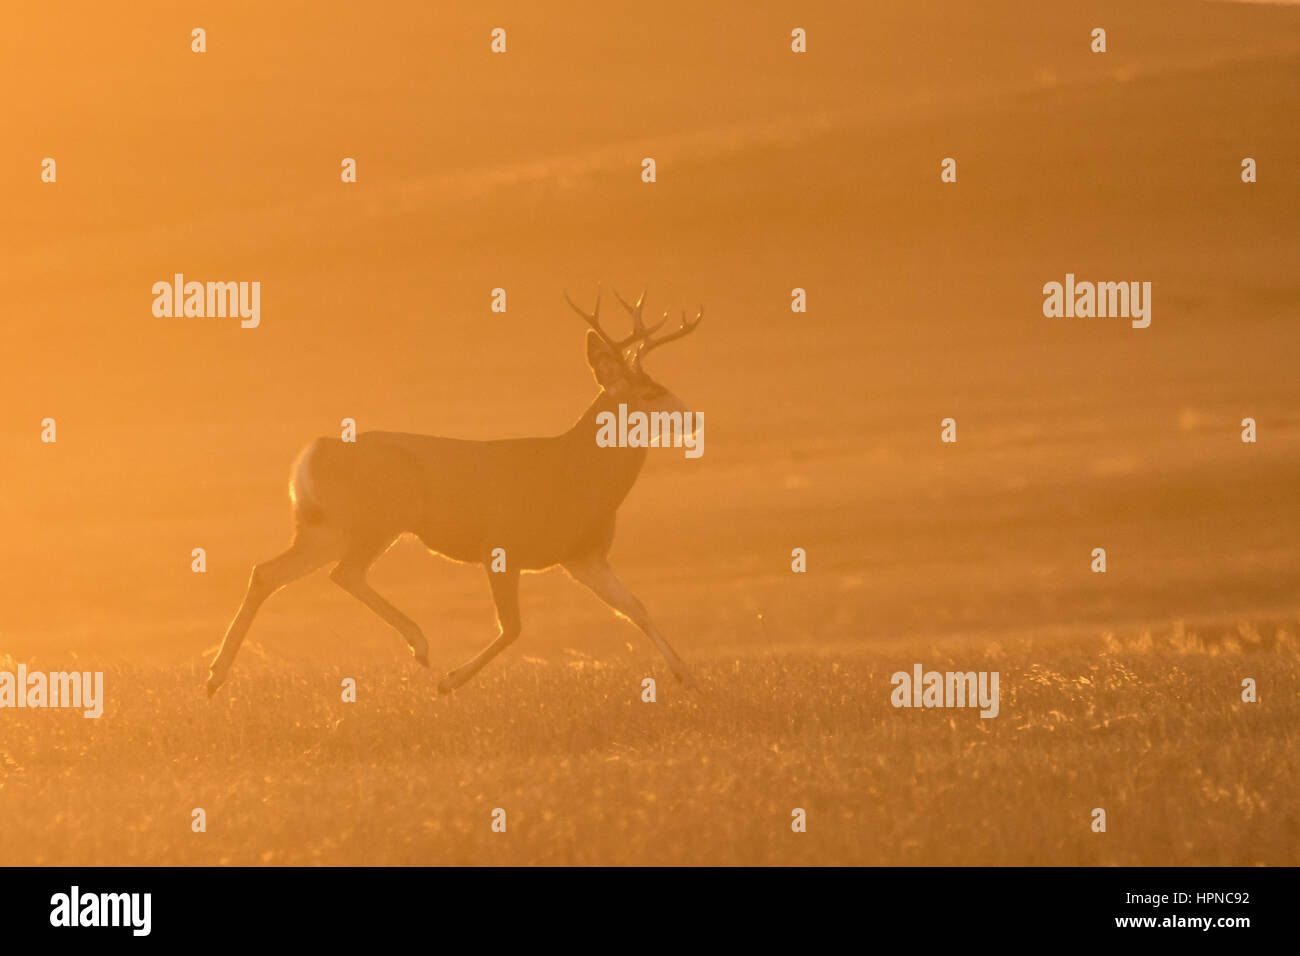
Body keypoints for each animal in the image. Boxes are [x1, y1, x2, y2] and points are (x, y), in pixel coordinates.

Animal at [208, 283, 707, 697]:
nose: (693, 419)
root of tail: (315, 451)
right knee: (344, 573)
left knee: (268, 572)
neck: (574, 475)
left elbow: (636, 607)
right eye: (650, 393)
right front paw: (450, 681)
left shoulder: (582, 554)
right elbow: (513, 627)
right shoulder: (501, 543)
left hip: (329, 526)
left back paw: (216, 676)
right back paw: (421, 645)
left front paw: (687, 676)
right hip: (377, 518)